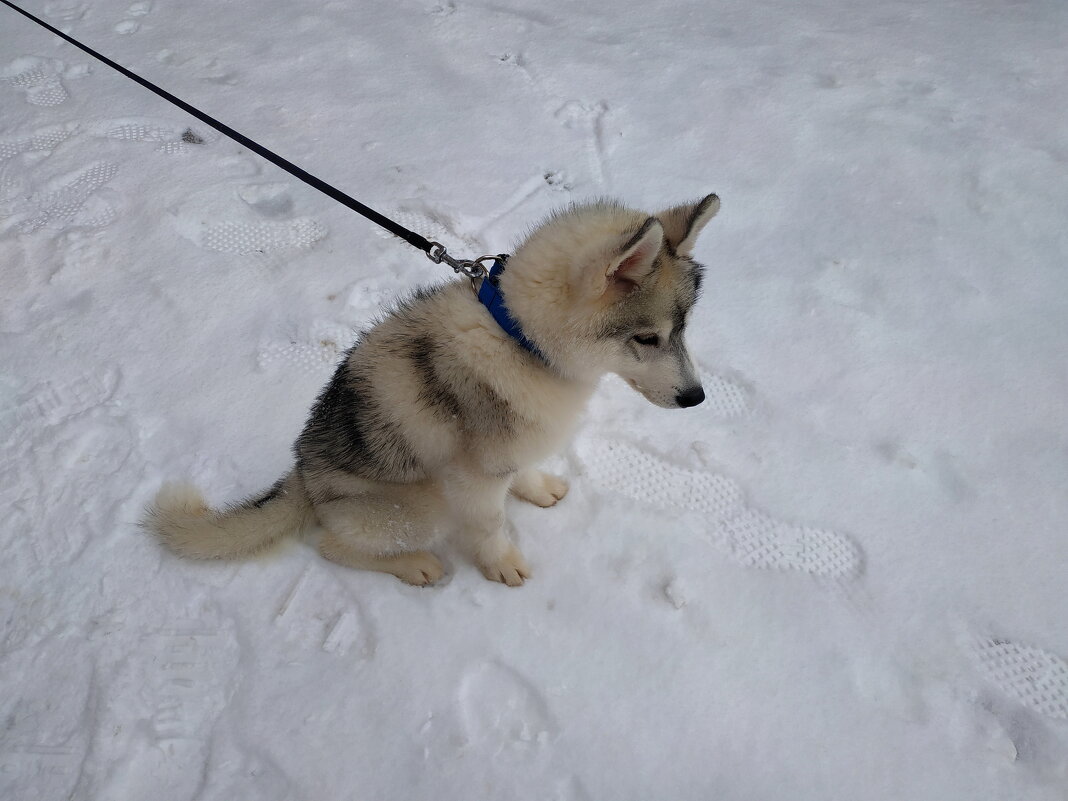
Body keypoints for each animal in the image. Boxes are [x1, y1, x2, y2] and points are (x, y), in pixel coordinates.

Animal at [146, 191, 717, 585]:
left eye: (683, 330)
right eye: (647, 338)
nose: (697, 398)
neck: (520, 339)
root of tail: (303, 476)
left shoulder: (508, 450)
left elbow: (522, 472)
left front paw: (536, 488)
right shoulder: (475, 478)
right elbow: (490, 526)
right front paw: (502, 565)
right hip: (425, 504)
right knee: (332, 545)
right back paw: (414, 565)